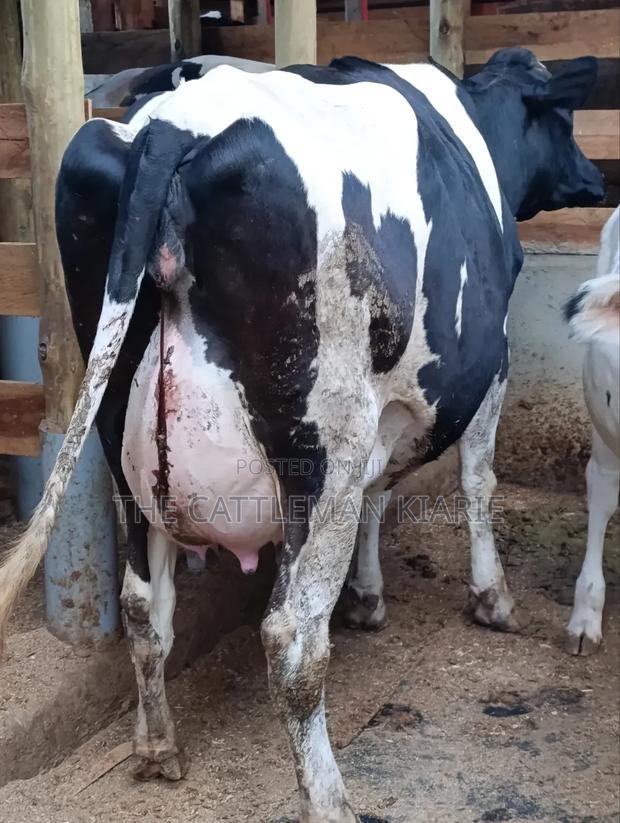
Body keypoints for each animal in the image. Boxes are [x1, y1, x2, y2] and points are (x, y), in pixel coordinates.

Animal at [0, 49, 604, 822]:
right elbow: (476, 482)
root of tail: (170, 127)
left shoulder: (387, 411)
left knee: (143, 605)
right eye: (564, 121)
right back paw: (329, 796)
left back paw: (157, 746)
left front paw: (370, 596)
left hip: (118, 442)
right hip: (321, 448)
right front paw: (492, 598)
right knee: (290, 636)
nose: (596, 179)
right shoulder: (489, 364)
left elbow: (382, 492)